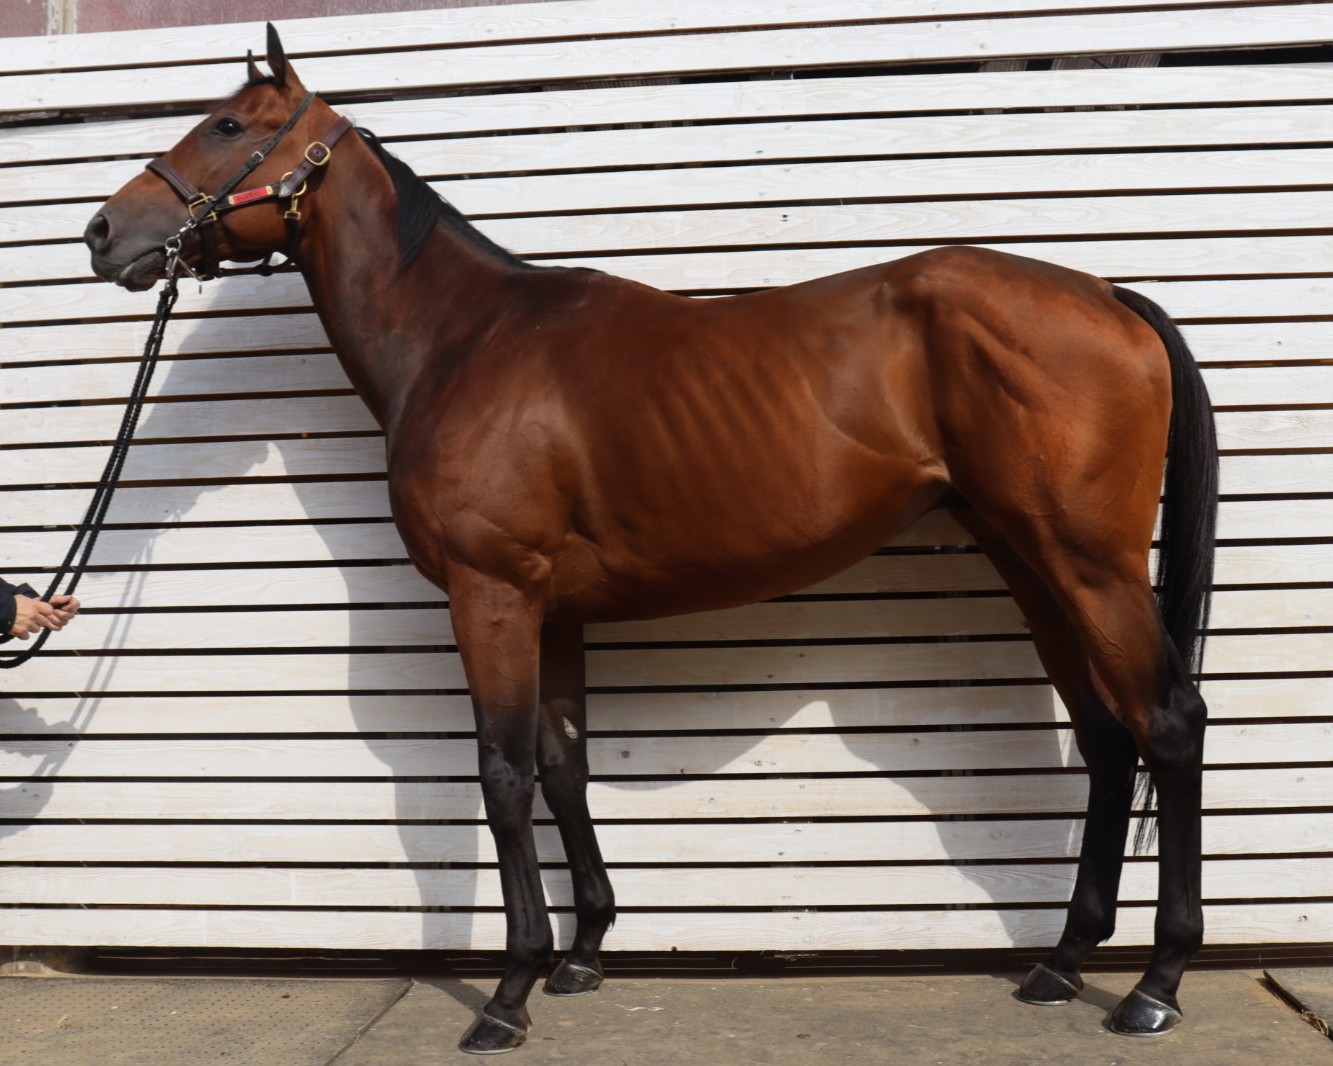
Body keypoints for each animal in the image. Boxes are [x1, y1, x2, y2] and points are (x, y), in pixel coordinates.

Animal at [85, 25, 1217, 1055]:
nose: (101, 232)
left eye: (227, 125)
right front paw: (584, 952)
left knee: (1166, 723)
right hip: (1031, 563)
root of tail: (1105, 296)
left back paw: (1154, 983)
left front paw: (509, 990)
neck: (464, 342)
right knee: (1106, 737)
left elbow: (502, 774)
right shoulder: (552, 611)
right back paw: (1060, 962)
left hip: (1090, 565)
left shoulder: (491, 596)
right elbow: (562, 765)